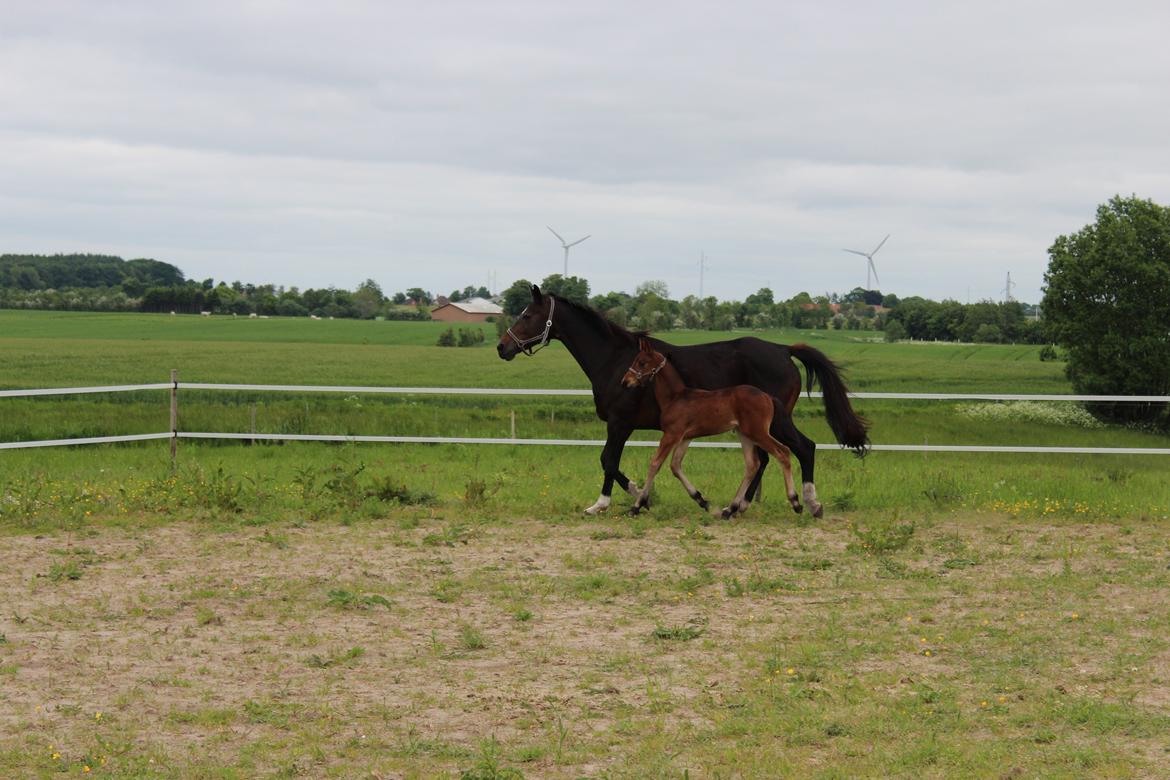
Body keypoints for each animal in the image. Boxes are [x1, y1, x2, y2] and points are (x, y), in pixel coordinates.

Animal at [622, 336, 804, 519]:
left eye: (642, 362)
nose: (625, 381)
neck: (675, 397)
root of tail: (767, 397)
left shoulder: (671, 434)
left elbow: (655, 464)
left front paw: (636, 506)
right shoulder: (686, 437)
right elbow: (675, 465)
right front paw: (703, 501)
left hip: (757, 433)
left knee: (783, 452)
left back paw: (796, 502)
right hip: (744, 434)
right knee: (752, 464)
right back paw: (730, 509)